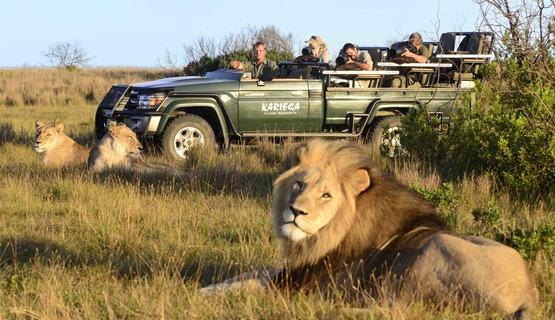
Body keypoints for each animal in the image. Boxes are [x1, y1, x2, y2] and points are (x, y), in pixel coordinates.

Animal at [203, 139, 540, 318]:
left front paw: (203, 292)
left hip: (434, 252)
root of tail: (529, 296)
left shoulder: (301, 283)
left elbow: (250, 283)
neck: (324, 238)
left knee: (396, 310)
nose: (295, 211)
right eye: (299, 184)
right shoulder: (293, 271)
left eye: (326, 195)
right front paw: (209, 285)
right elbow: (249, 273)